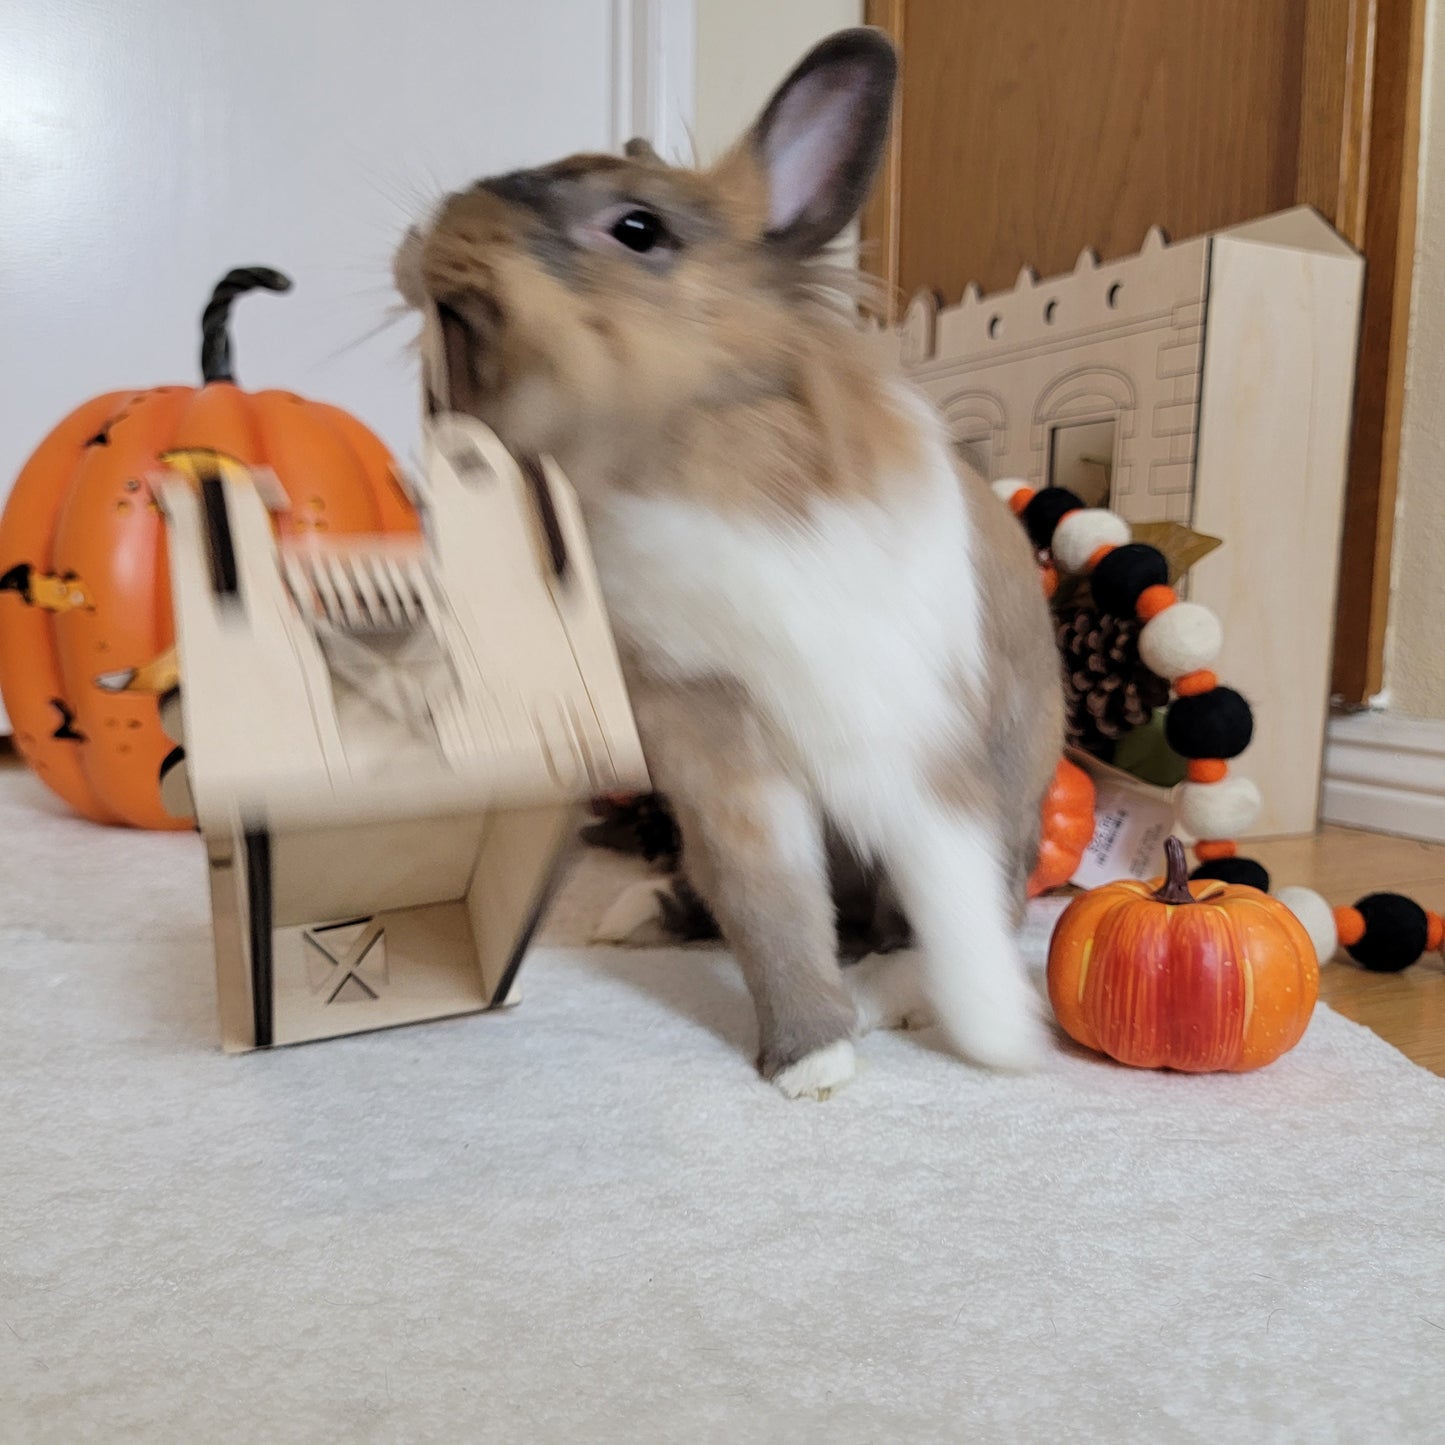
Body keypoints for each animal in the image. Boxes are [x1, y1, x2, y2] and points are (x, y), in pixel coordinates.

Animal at [393, 25, 1063, 1092]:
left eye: (637, 227)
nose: (431, 231)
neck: (671, 454)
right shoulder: (713, 752)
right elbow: (768, 903)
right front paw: (811, 1057)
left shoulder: (910, 748)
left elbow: (950, 899)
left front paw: (999, 1039)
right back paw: (642, 912)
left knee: (950, 908)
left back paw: (898, 986)